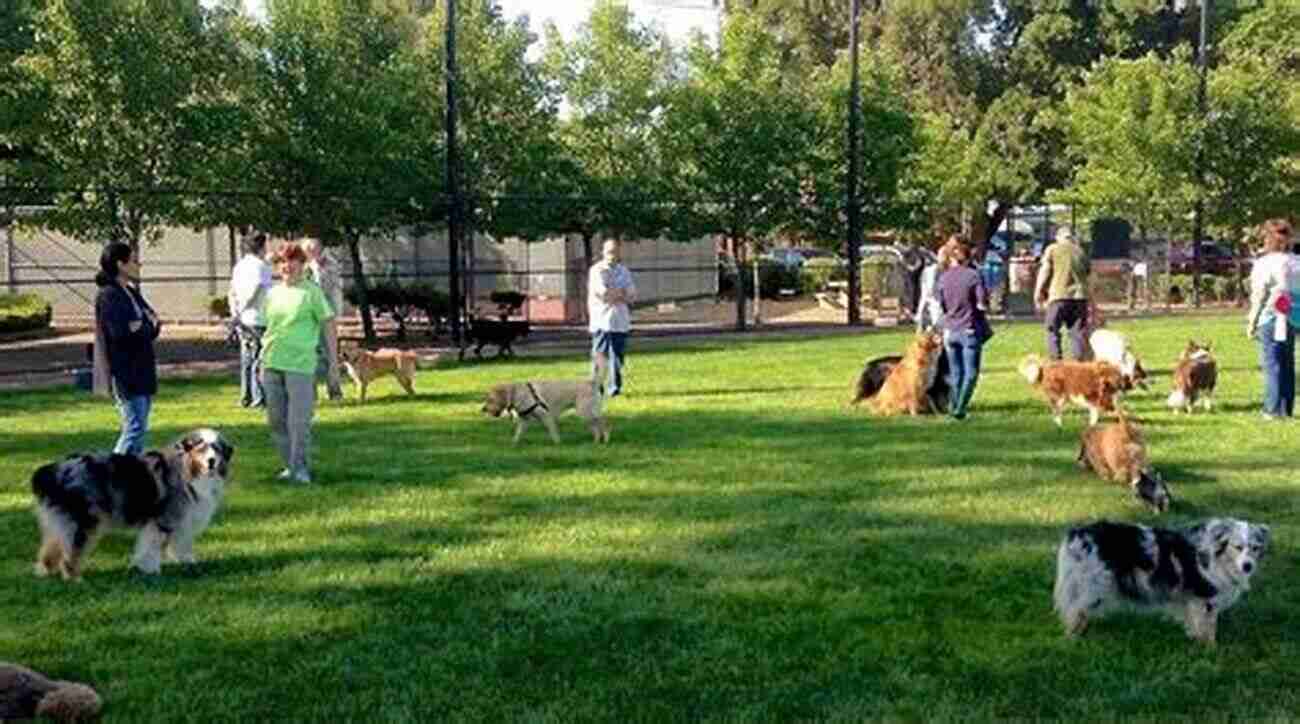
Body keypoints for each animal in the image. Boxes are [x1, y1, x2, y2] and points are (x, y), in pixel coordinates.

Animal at [32, 426, 233, 579]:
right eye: (201, 448)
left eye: (217, 448)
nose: (212, 461)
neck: (188, 469)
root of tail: (54, 469)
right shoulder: (162, 519)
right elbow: (151, 547)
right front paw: (151, 570)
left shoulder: (183, 518)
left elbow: (181, 542)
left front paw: (187, 561)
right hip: (84, 520)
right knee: (70, 551)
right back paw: (73, 577)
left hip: (63, 520)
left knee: (51, 546)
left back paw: (47, 572)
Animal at [483, 371, 613, 447]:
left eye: (491, 399)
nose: (483, 409)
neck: (517, 393)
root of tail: (592, 382)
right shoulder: (524, 421)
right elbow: (518, 434)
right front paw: (513, 444)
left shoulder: (546, 416)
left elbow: (553, 433)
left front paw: (558, 444)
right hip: (587, 413)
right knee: (596, 428)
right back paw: (596, 442)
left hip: (586, 412)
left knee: (604, 423)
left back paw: (606, 440)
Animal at [1055, 517, 1268, 647]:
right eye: (1237, 547)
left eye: (1255, 548)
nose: (1248, 566)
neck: (1217, 555)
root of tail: (1077, 534)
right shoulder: (1203, 598)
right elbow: (1208, 627)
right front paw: (1210, 648)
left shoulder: (1193, 601)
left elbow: (1196, 624)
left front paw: (1195, 639)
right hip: (1092, 586)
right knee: (1075, 612)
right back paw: (1073, 638)